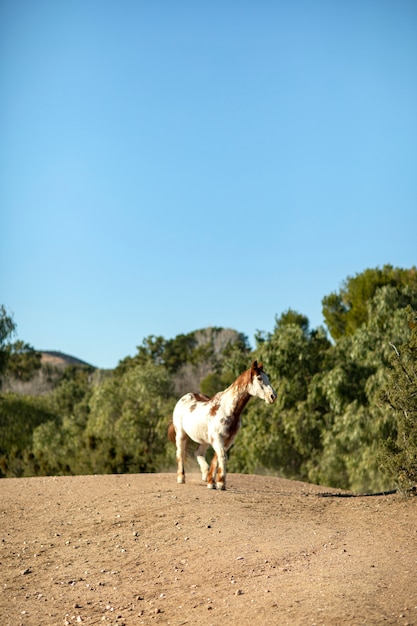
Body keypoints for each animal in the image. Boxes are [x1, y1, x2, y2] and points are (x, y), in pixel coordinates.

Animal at [166, 360, 276, 488]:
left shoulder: (228, 440)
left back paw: (205, 475)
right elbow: (222, 457)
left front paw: (212, 482)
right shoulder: (217, 438)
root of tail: (184, 398)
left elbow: (217, 458)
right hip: (181, 435)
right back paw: (181, 478)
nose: (272, 396)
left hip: (204, 439)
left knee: (198, 452)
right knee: (180, 454)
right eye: (259, 378)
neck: (227, 409)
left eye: (267, 377)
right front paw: (221, 483)